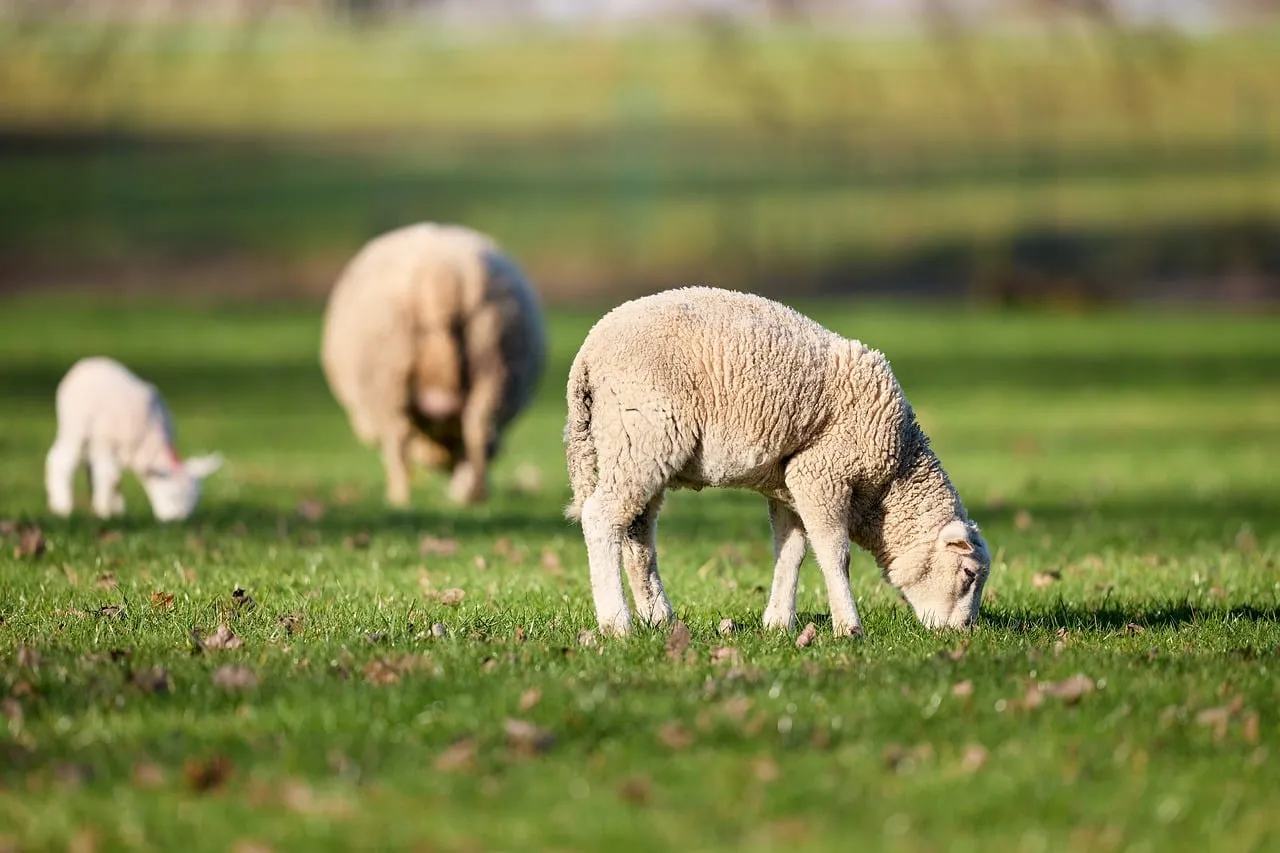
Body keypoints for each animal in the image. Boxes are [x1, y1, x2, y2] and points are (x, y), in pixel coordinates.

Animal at [45, 357, 224, 522]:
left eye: (197, 499)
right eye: (171, 494)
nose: (178, 521)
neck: (151, 439)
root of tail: (89, 361)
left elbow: (115, 480)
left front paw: (117, 511)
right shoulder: (106, 443)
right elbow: (110, 478)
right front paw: (104, 513)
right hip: (74, 425)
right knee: (61, 460)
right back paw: (62, 507)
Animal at [320, 223, 546, 506]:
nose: (445, 466)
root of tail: (440, 275)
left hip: (389, 377)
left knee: (398, 440)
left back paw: (399, 497)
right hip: (494, 360)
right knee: (478, 428)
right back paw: (477, 494)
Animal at [564, 286, 990, 638]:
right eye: (969, 574)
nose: (964, 632)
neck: (893, 477)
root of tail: (587, 355)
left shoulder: (790, 484)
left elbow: (790, 553)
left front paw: (778, 623)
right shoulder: (822, 473)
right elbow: (835, 554)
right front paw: (849, 628)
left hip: (632, 446)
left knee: (637, 535)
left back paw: (660, 618)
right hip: (643, 435)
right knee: (601, 518)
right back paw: (617, 624)